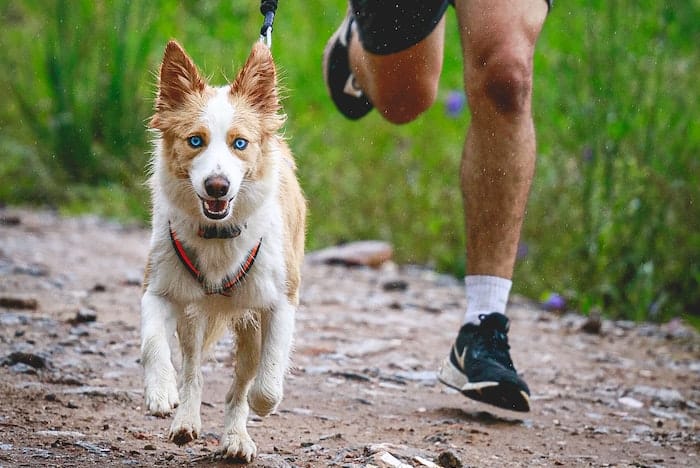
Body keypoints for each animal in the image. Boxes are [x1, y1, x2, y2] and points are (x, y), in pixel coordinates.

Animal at [141, 38, 304, 462]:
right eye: (195, 140)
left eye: (240, 143)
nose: (217, 185)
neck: (217, 235)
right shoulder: (158, 288)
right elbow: (153, 344)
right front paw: (160, 392)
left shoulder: (280, 300)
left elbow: (266, 381)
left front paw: (263, 403)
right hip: (192, 317)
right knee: (193, 369)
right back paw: (185, 422)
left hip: (249, 324)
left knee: (240, 384)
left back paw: (235, 439)